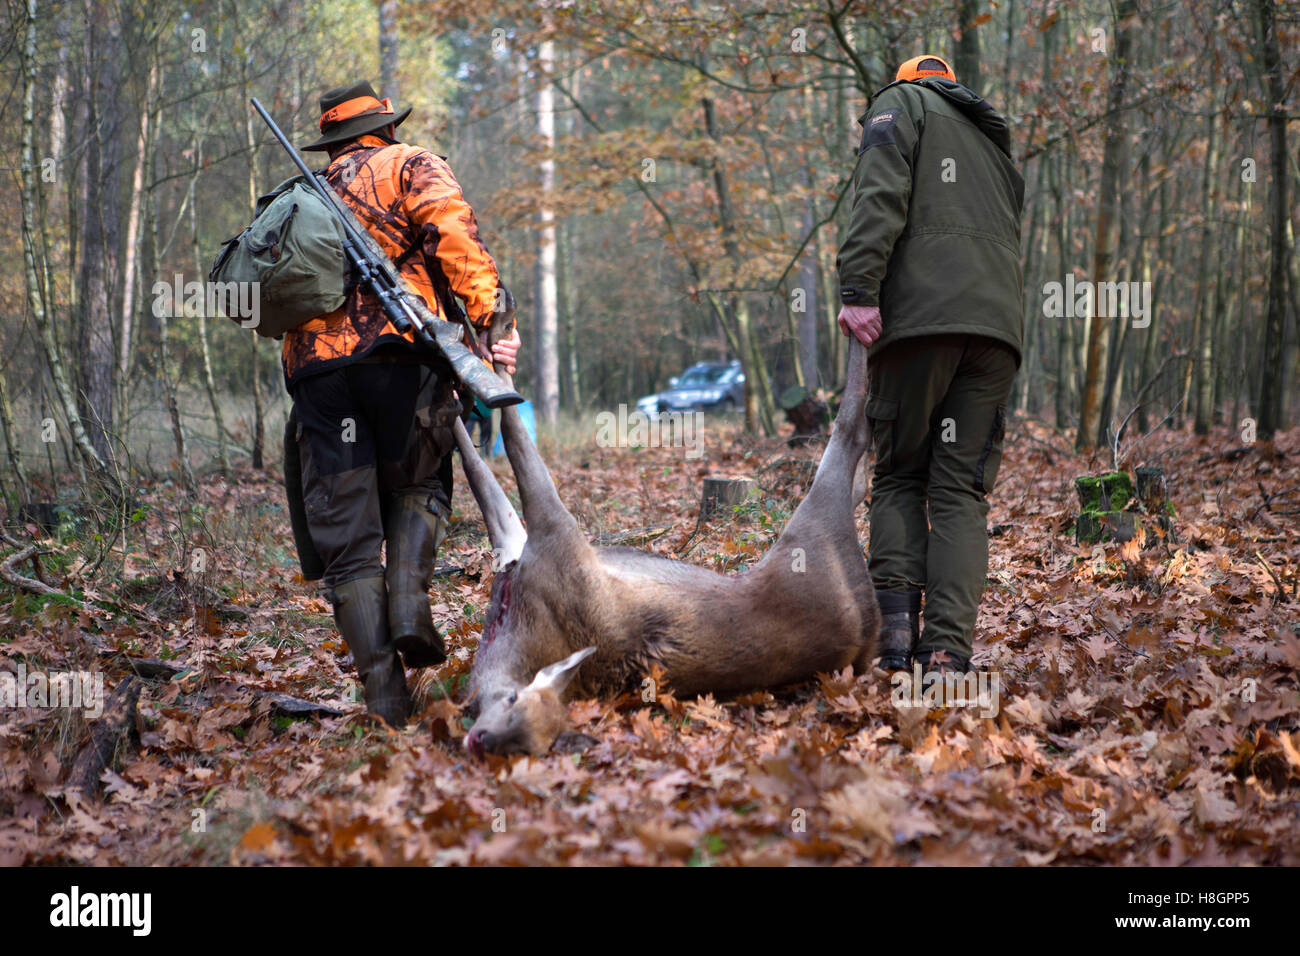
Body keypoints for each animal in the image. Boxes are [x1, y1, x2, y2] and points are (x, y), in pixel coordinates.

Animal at [454, 338, 879, 757]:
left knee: (849, 430)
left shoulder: (549, 537)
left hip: (814, 523)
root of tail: (866, 628)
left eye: (515, 707)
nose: (480, 739)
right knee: (858, 473)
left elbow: (495, 449)